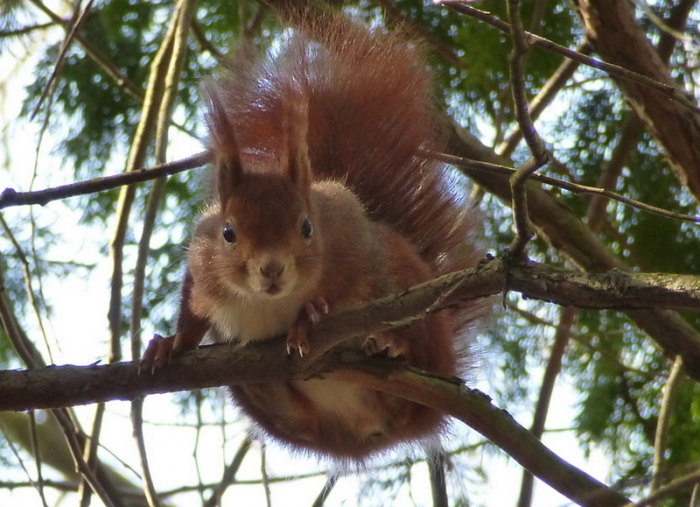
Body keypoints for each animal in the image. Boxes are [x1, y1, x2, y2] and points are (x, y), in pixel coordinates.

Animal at [142, 13, 483, 461]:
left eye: (307, 227)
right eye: (228, 233)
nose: (272, 269)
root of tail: (362, 433)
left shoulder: (350, 237)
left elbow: (342, 283)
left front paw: (310, 315)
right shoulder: (201, 261)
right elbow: (191, 310)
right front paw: (170, 344)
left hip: (411, 300)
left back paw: (389, 345)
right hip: (278, 412)